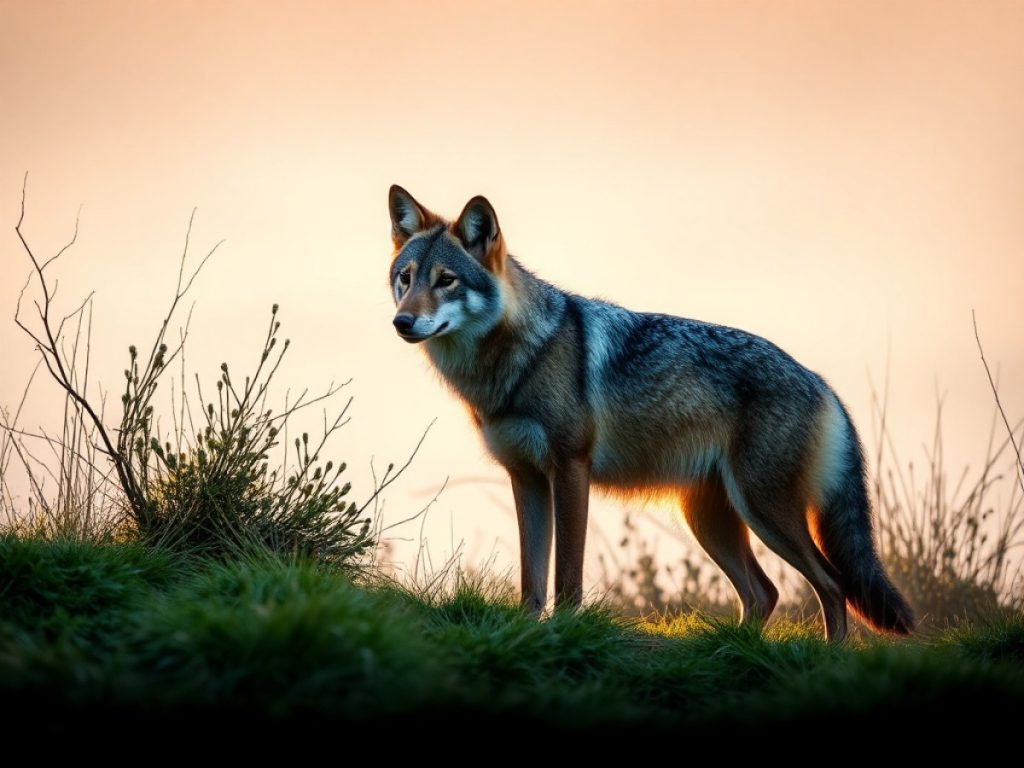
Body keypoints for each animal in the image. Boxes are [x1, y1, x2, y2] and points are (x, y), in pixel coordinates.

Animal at [386, 185, 914, 641]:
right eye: (405, 278)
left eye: (446, 280)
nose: (402, 322)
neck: (517, 360)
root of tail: (822, 383)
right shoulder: (526, 477)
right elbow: (532, 580)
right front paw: (526, 633)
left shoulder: (570, 469)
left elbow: (567, 576)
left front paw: (566, 631)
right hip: (711, 522)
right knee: (765, 593)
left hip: (764, 513)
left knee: (832, 585)